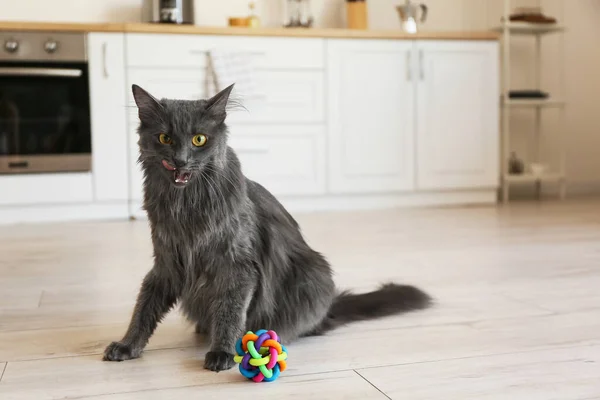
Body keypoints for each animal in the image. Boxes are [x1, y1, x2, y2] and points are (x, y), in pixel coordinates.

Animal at [103, 84, 432, 372]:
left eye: (199, 140)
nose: (180, 160)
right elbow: (144, 309)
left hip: (312, 272)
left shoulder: (237, 267)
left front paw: (222, 352)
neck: (186, 205)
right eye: (165, 138)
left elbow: (230, 311)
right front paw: (127, 345)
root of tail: (328, 309)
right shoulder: (167, 263)